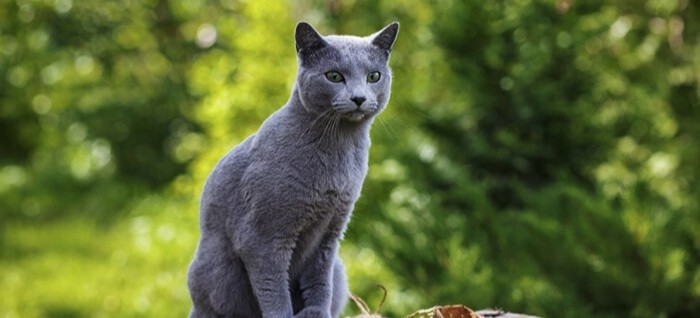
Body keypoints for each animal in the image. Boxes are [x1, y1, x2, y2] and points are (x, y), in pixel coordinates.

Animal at [186, 20, 400, 318]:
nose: (358, 97)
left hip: (339, 268)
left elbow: (320, 280)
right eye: (334, 76)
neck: (340, 149)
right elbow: (273, 286)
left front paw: (317, 312)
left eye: (373, 76)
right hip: (219, 270)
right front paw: (284, 314)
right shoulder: (262, 236)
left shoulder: (330, 233)